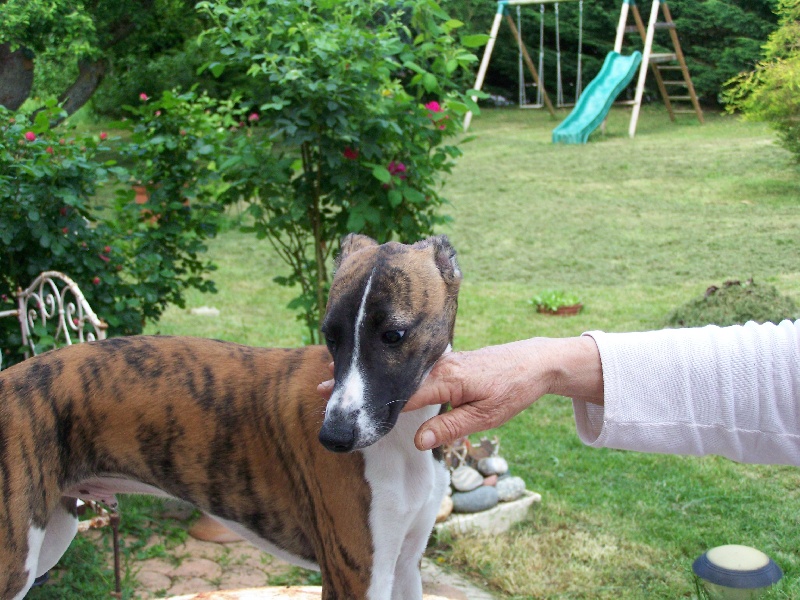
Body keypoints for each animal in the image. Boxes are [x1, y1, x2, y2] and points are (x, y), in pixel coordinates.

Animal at [0, 233, 461, 600]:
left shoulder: (404, 566)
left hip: (52, 533)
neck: (402, 438)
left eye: (393, 335)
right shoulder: (357, 574)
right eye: (331, 336)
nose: (333, 437)